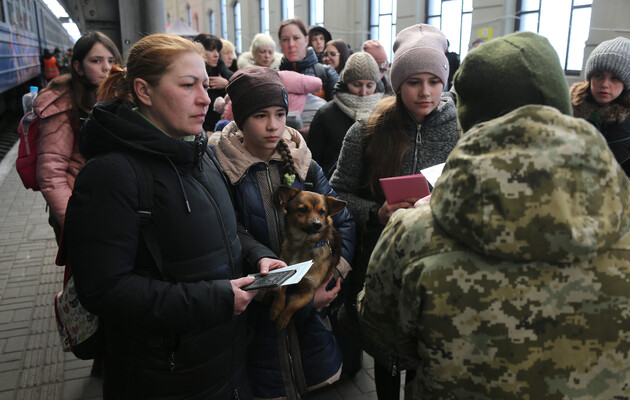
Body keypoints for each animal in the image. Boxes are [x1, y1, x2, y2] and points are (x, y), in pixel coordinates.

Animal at [270, 186, 348, 330]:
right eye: (302, 209)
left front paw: (282, 320)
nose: (318, 224)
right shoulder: (286, 274)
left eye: (322, 212)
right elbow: (280, 292)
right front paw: (275, 309)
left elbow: (293, 305)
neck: (303, 244)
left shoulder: (309, 292)